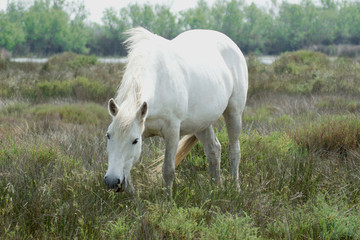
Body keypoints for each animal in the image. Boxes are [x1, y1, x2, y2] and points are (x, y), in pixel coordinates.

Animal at [102, 27, 246, 196]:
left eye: (135, 140)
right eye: (108, 135)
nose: (112, 181)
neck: (159, 80)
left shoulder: (172, 132)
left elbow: (168, 170)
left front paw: (167, 200)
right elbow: (129, 175)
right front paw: (135, 200)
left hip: (234, 113)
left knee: (234, 151)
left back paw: (236, 189)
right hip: (201, 123)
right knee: (214, 150)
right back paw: (216, 189)